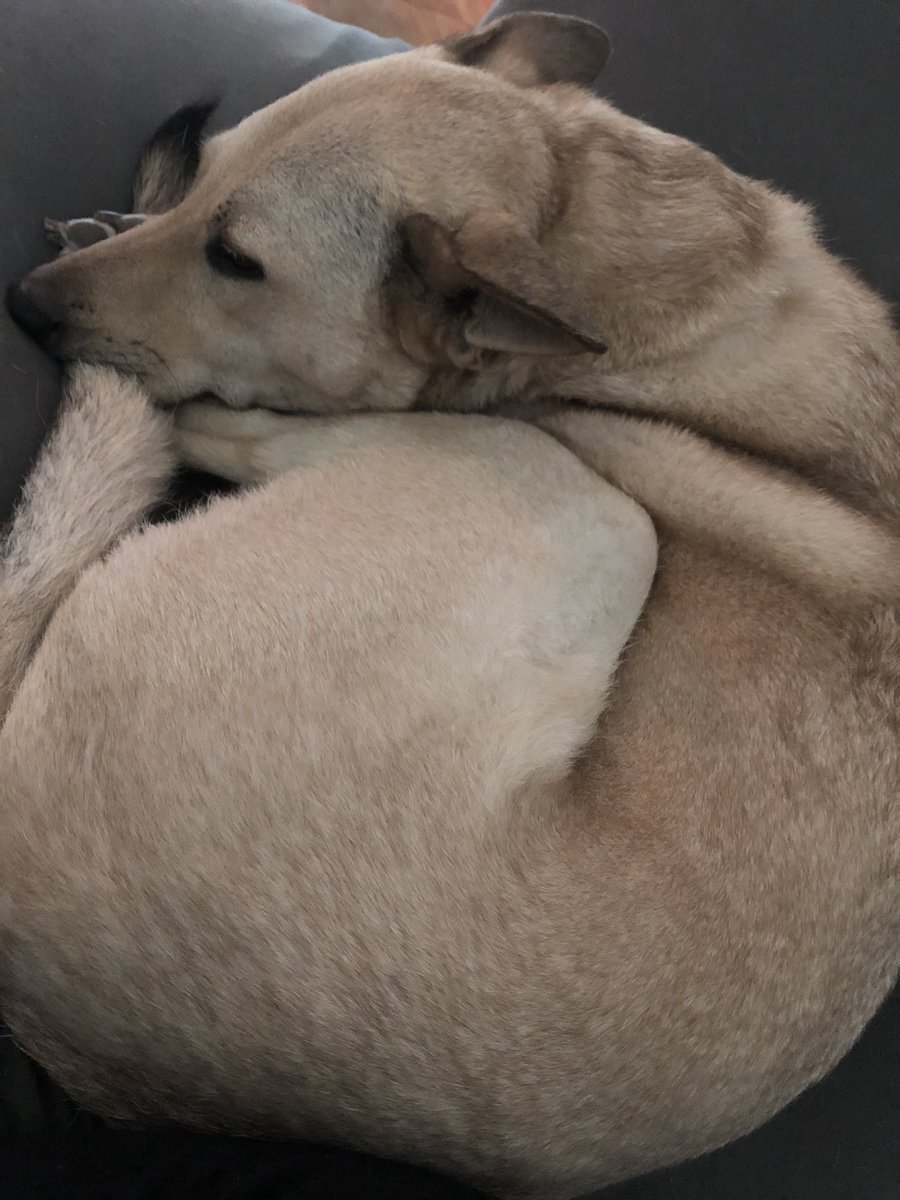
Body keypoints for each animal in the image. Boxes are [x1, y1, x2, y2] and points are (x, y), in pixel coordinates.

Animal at [1, 16, 900, 1200]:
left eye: (237, 261)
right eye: (206, 186)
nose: (27, 302)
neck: (587, 224)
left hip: (585, 507)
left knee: (212, 430)